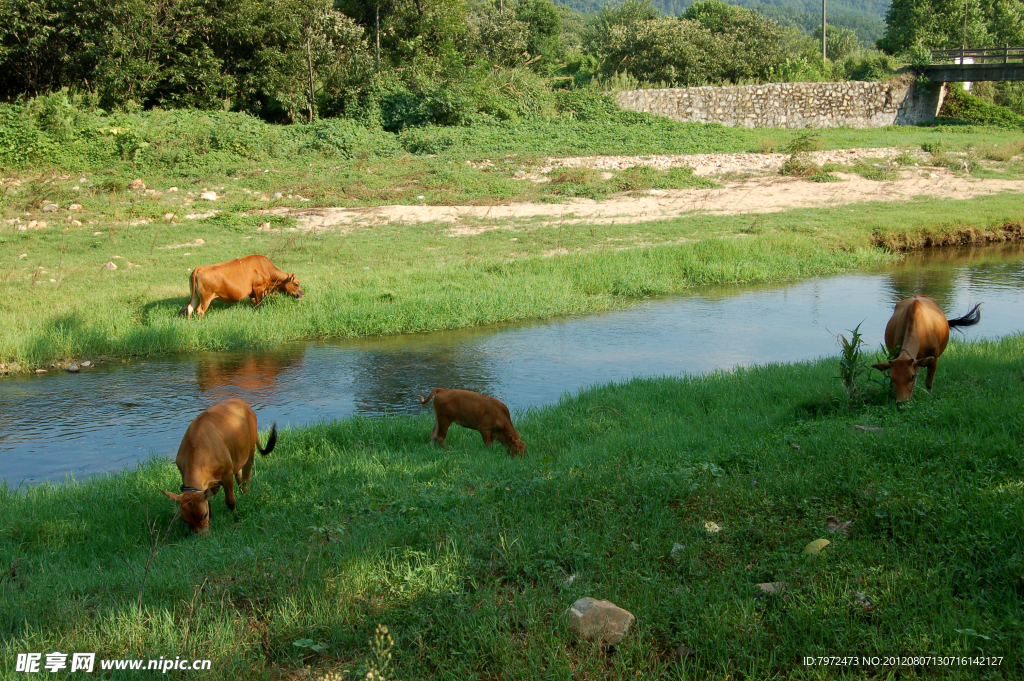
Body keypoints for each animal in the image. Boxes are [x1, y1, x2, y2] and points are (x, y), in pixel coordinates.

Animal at [158, 399, 274, 532]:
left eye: (204, 515)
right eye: (185, 520)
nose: (202, 535)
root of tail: (241, 401)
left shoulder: (227, 474)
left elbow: (230, 501)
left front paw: (234, 515)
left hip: (250, 450)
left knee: (246, 477)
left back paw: (246, 494)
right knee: (239, 475)